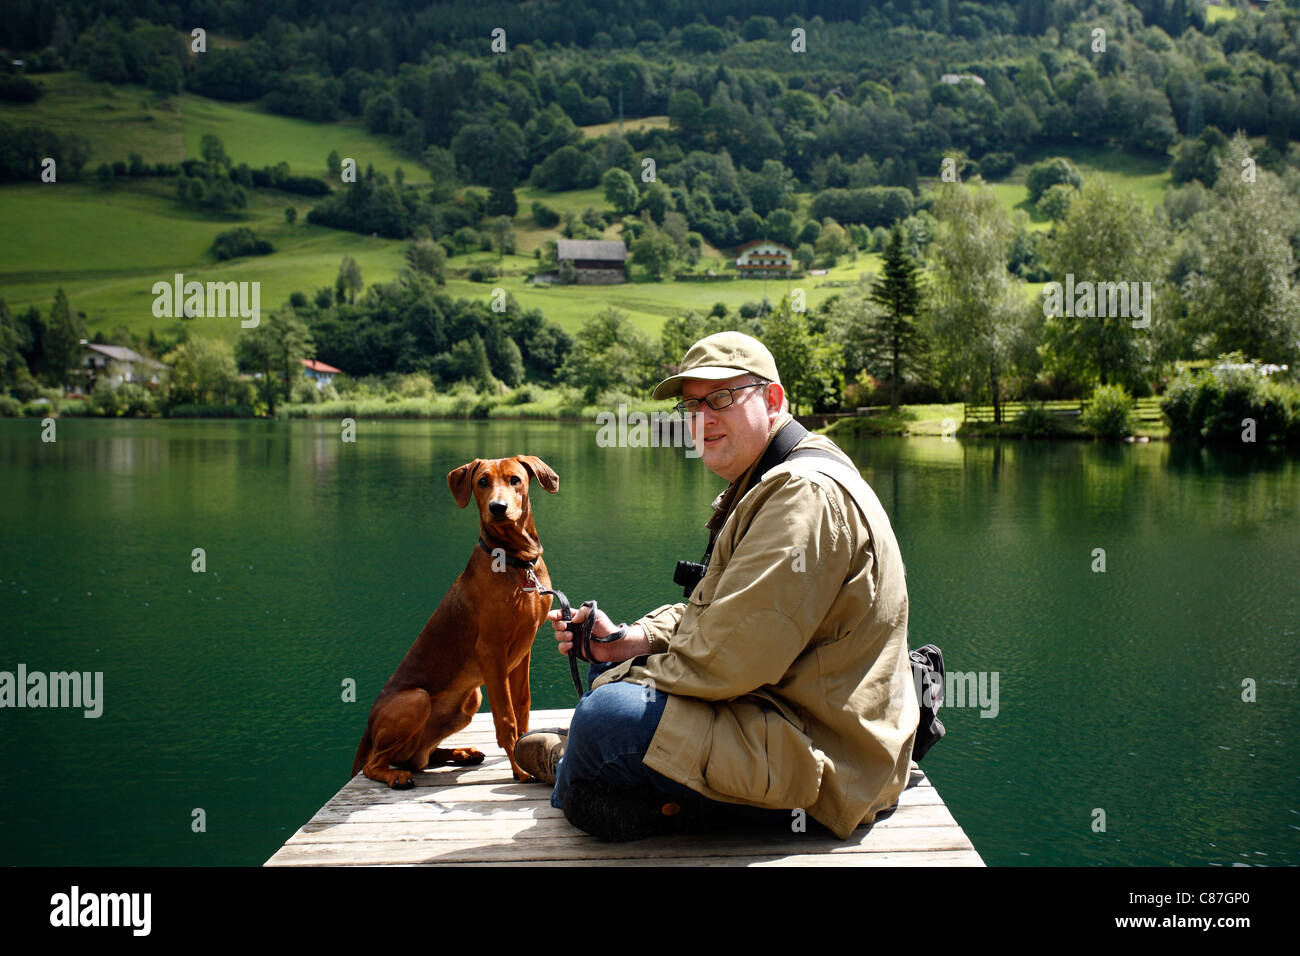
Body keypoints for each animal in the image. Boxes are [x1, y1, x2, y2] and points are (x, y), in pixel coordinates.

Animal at [351, 455, 559, 785]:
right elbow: (506, 718)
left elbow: (522, 706)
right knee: (377, 764)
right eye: (482, 482)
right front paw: (519, 768)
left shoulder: (523, 651)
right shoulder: (491, 651)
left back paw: (461, 753)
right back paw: (396, 776)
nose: (497, 508)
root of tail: (368, 729)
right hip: (417, 699)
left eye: (515, 480)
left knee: (419, 757)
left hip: (469, 700)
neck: (516, 562)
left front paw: (525, 751)